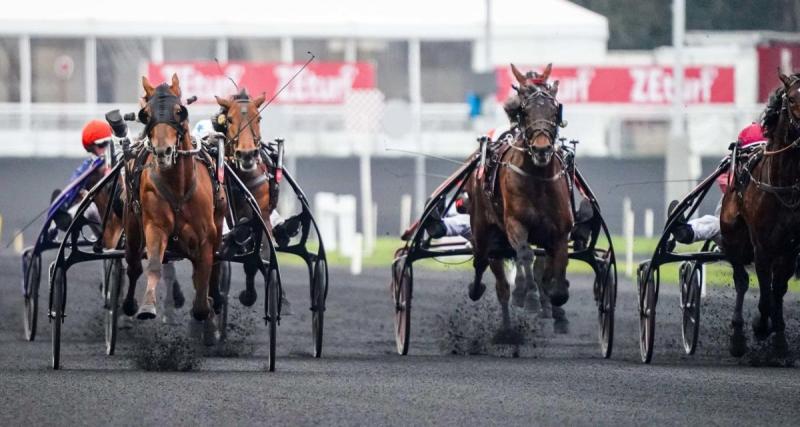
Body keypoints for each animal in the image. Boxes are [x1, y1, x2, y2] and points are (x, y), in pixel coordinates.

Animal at [122, 73, 228, 342]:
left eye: (180, 111)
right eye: (146, 114)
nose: (163, 152)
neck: (179, 185)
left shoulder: (206, 236)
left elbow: (204, 276)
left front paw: (207, 315)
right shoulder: (155, 226)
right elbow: (154, 265)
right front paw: (147, 306)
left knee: (212, 267)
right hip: (132, 224)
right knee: (134, 265)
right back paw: (128, 305)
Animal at [466, 64, 572, 338]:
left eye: (554, 109)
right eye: (525, 110)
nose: (542, 149)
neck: (538, 178)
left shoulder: (560, 232)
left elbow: (557, 268)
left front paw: (556, 300)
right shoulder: (515, 224)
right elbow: (525, 254)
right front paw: (528, 296)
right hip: (484, 230)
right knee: (485, 265)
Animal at [720, 72, 800, 360]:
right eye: (792, 98)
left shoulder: (790, 247)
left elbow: (778, 290)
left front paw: (779, 339)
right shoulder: (762, 244)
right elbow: (764, 291)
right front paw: (760, 326)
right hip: (733, 237)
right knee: (741, 280)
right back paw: (738, 336)